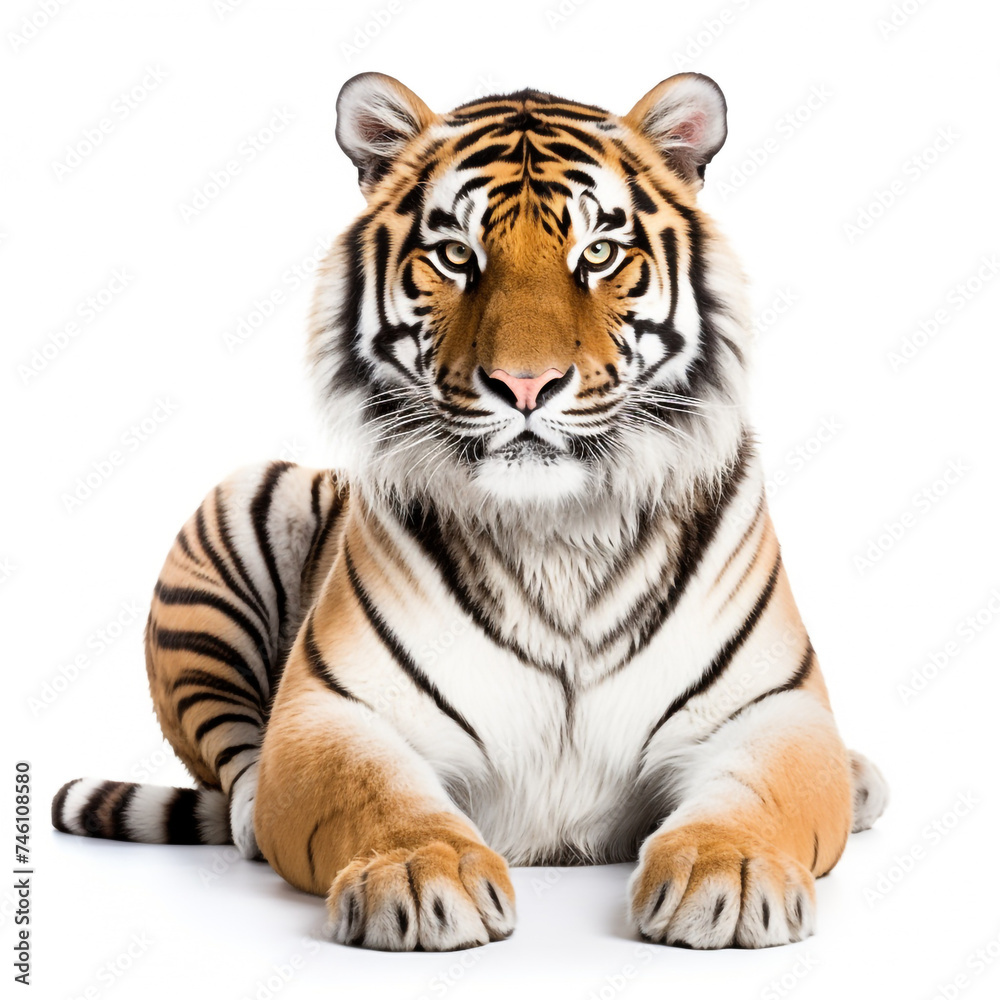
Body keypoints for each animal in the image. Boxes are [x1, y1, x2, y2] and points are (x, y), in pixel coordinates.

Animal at [52, 71, 888, 951]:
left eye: (598, 253)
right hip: (235, 521)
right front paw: (418, 876)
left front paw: (729, 872)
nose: (526, 384)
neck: (559, 534)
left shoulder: (772, 710)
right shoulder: (333, 711)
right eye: (456, 255)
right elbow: (374, 792)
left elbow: (759, 793)